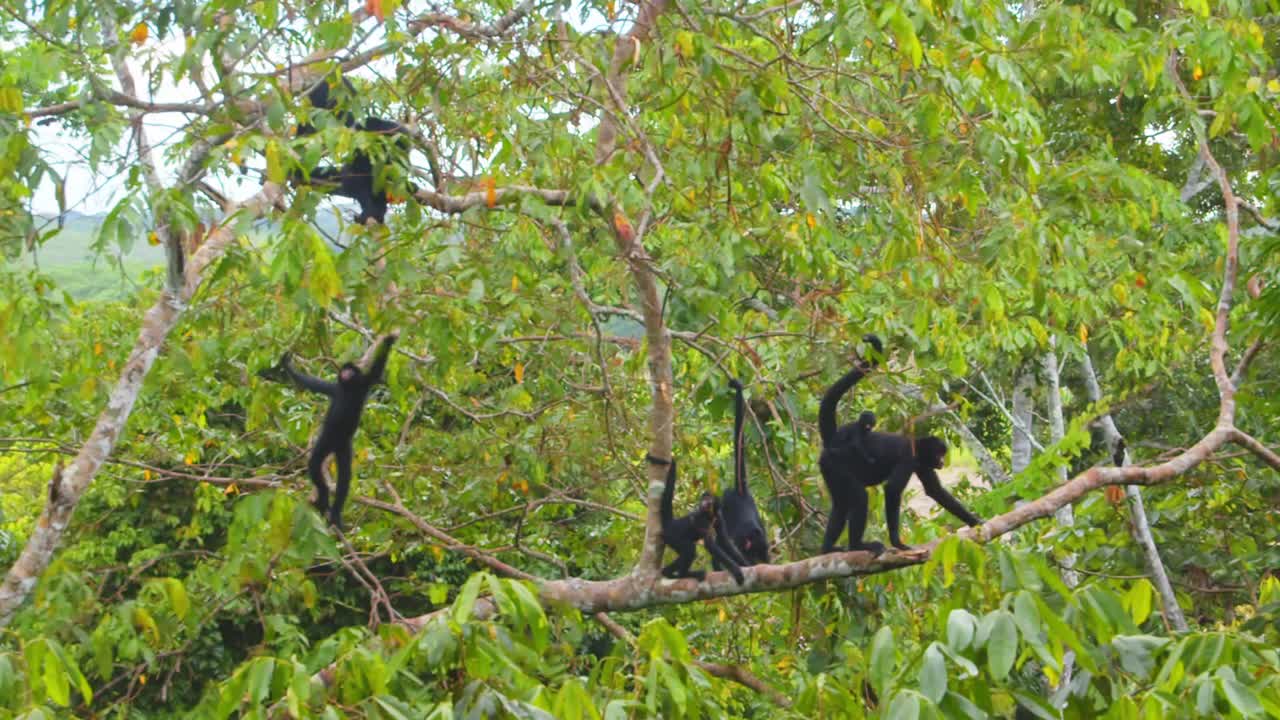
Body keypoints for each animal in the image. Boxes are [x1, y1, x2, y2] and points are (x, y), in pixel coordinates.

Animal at [269, 332, 398, 531]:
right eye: (345, 370)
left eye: (351, 371)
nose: (346, 373)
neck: (347, 389)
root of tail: (336, 444)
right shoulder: (334, 388)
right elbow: (311, 383)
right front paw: (286, 363)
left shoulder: (364, 384)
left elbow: (377, 369)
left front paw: (389, 340)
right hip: (326, 441)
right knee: (315, 464)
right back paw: (323, 500)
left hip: (344, 445)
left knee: (343, 478)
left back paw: (333, 512)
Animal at [648, 454, 748, 585]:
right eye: (703, 499)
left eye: (708, 500)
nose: (703, 503)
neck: (709, 515)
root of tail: (671, 523)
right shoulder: (701, 518)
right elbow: (709, 544)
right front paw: (736, 570)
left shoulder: (718, 516)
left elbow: (724, 540)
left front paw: (746, 564)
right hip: (672, 537)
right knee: (690, 549)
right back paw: (681, 574)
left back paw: (668, 573)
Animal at [715, 379, 769, 567]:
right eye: (747, 542)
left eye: (752, 545)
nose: (747, 547)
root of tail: (740, 492)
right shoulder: (740, 536)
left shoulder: (763, 544)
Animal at [817, 335, 982, 554]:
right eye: (940, 454)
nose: (941, 462)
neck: (917, 447)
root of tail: (833, 442)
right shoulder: (909, 459)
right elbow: (892, 490)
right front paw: (897, 541)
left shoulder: (921, 464)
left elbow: (935, 492)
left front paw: (976, 521)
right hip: (836, 465)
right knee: (859, 497)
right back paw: (857, 545)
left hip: (830, 470)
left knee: (841, 504)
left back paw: (828, 548)